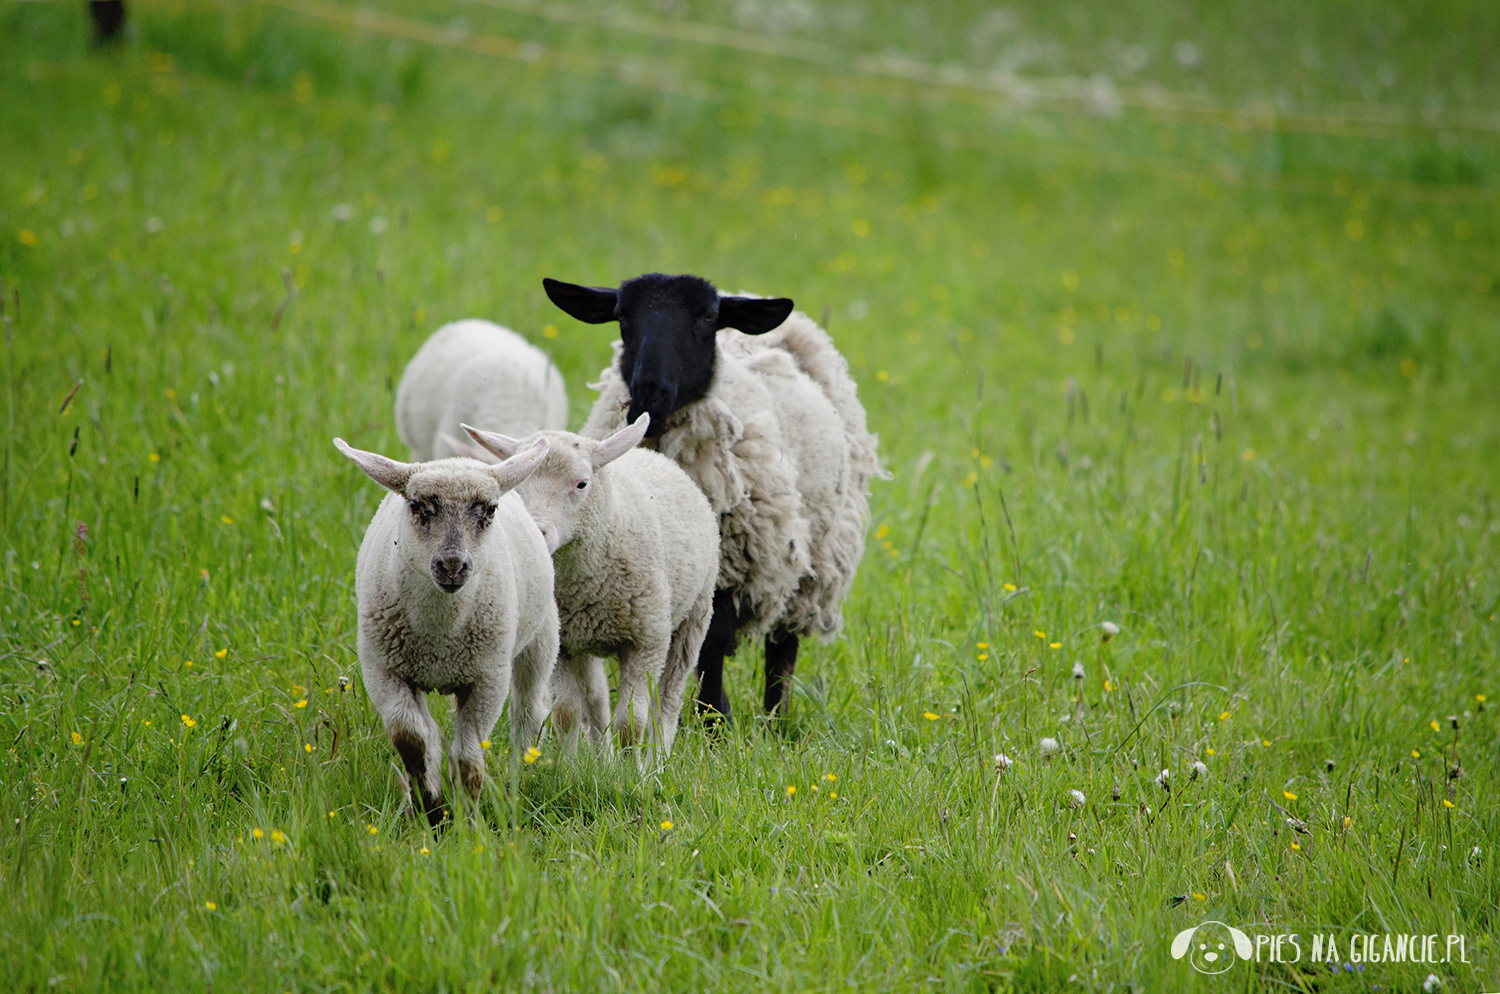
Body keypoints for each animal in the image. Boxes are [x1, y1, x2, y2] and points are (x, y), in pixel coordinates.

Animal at [334, 434, 558, 821]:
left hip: (540, 640)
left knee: (529, 711)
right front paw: (430, 805)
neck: (438, 635)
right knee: (430, 729)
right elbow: (411, 738)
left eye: (490, 510)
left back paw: (524, 770)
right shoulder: (384, 670)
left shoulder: (487, 679)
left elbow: (468, 758)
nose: (452, 565)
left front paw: (466, 816)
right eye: (416, 506)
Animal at [465, 410, 723, 761]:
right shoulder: (563, 646)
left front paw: (632, 770)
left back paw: (658, 759)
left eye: (581, 483)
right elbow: (567, 713)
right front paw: (568, 765)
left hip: (694, 616)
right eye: (519, 488)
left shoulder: (646, 643)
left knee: (667, 701)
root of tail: (651, 455)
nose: (538, 532)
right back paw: (603, 758)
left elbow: (632, 722)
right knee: (597, 700)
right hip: (585, 641)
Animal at [546, 272, 882, 722]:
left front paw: (714, 718)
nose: (649, 394)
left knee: (783, 646)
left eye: (707, 318)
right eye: (622, 317)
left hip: (811, 560)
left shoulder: (736, 569)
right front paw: (710, 714)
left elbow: (714, 640)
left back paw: (776, 719)